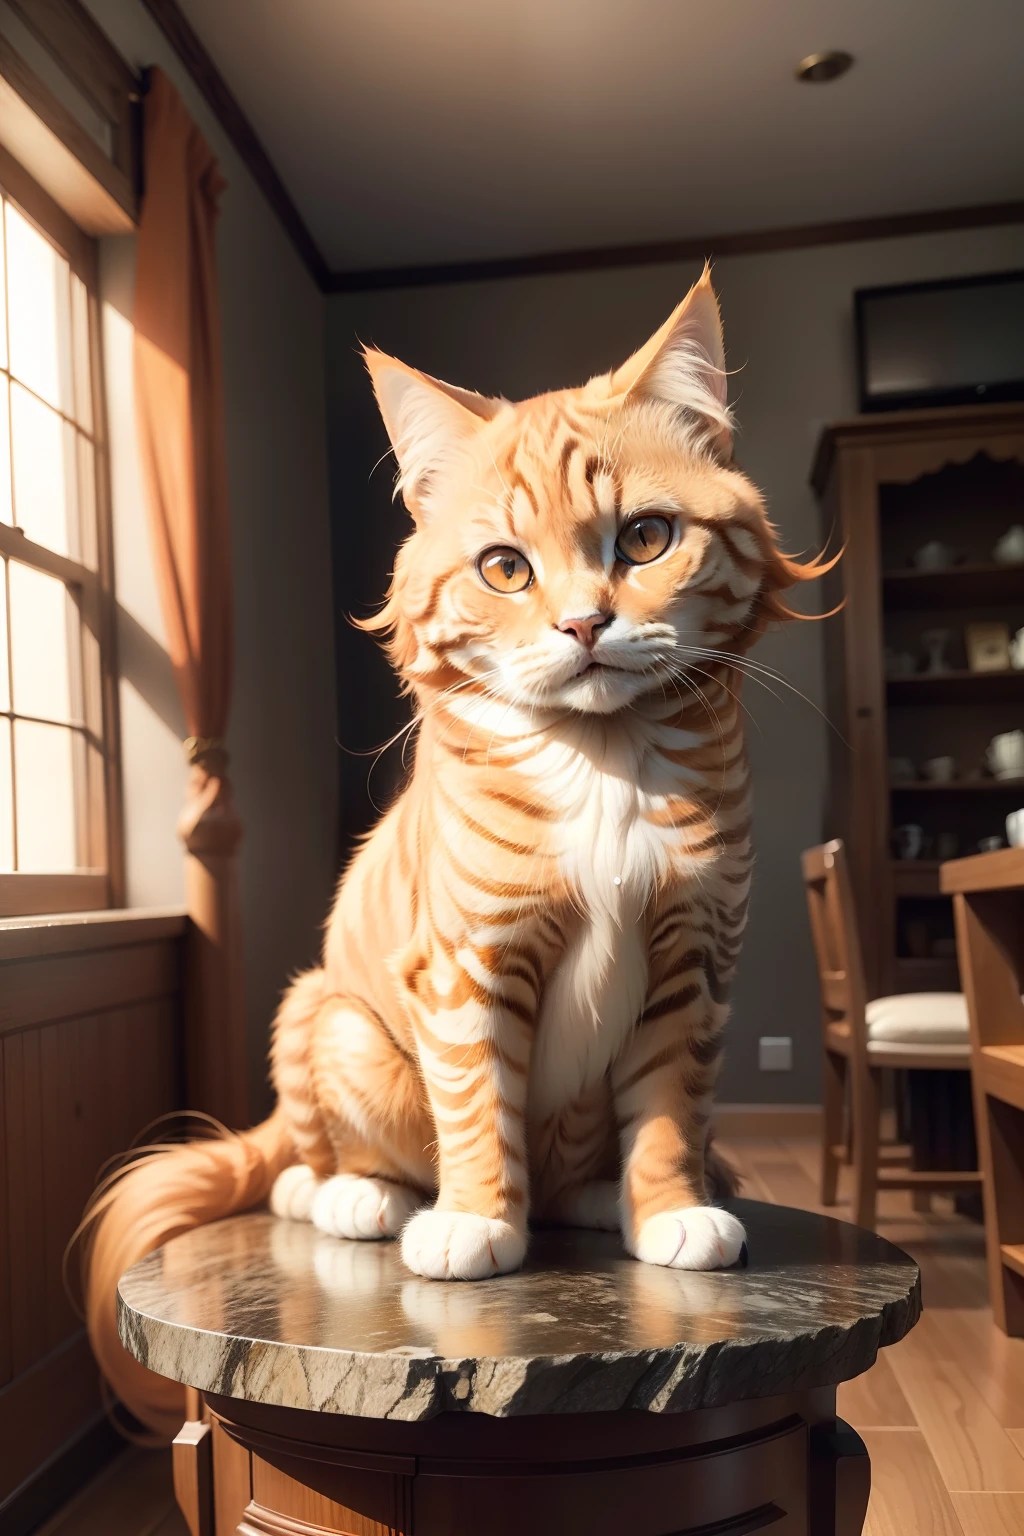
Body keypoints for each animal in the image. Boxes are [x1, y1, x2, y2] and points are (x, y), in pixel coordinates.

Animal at [82, 270, 835, 1431]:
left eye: (645, 539)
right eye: (504, 568)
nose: (583, 625)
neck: (602, 759)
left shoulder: (694, 959)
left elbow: (670, 1104)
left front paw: (668, 1206)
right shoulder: (469, 958)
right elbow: (478, 1096)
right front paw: (478, 1221)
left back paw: (597, 1193)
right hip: (324, 1015)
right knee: (299, 1163)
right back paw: (362, 1198)